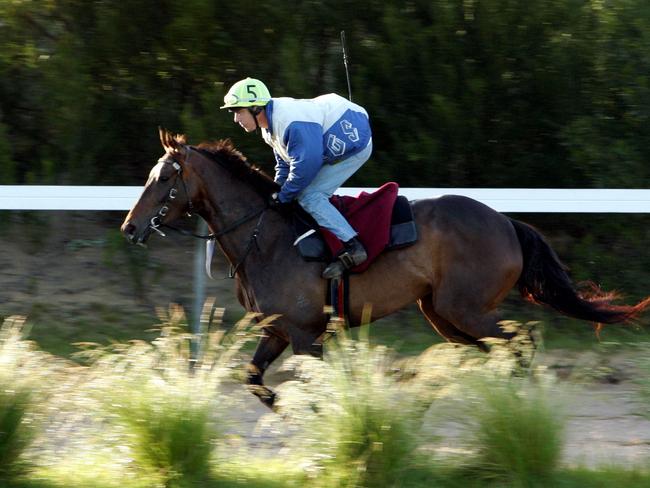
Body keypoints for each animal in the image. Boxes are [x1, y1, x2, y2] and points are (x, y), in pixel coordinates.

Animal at [120, 129, 648, 408]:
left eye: (163, 179)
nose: (129, 227)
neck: (265, 237)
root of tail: (506, 221)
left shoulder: (307, 333)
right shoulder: (280, 328)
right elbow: (253, 379)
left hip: (466, 308)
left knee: (520, 342)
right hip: (443, 313)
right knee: (499, 348)